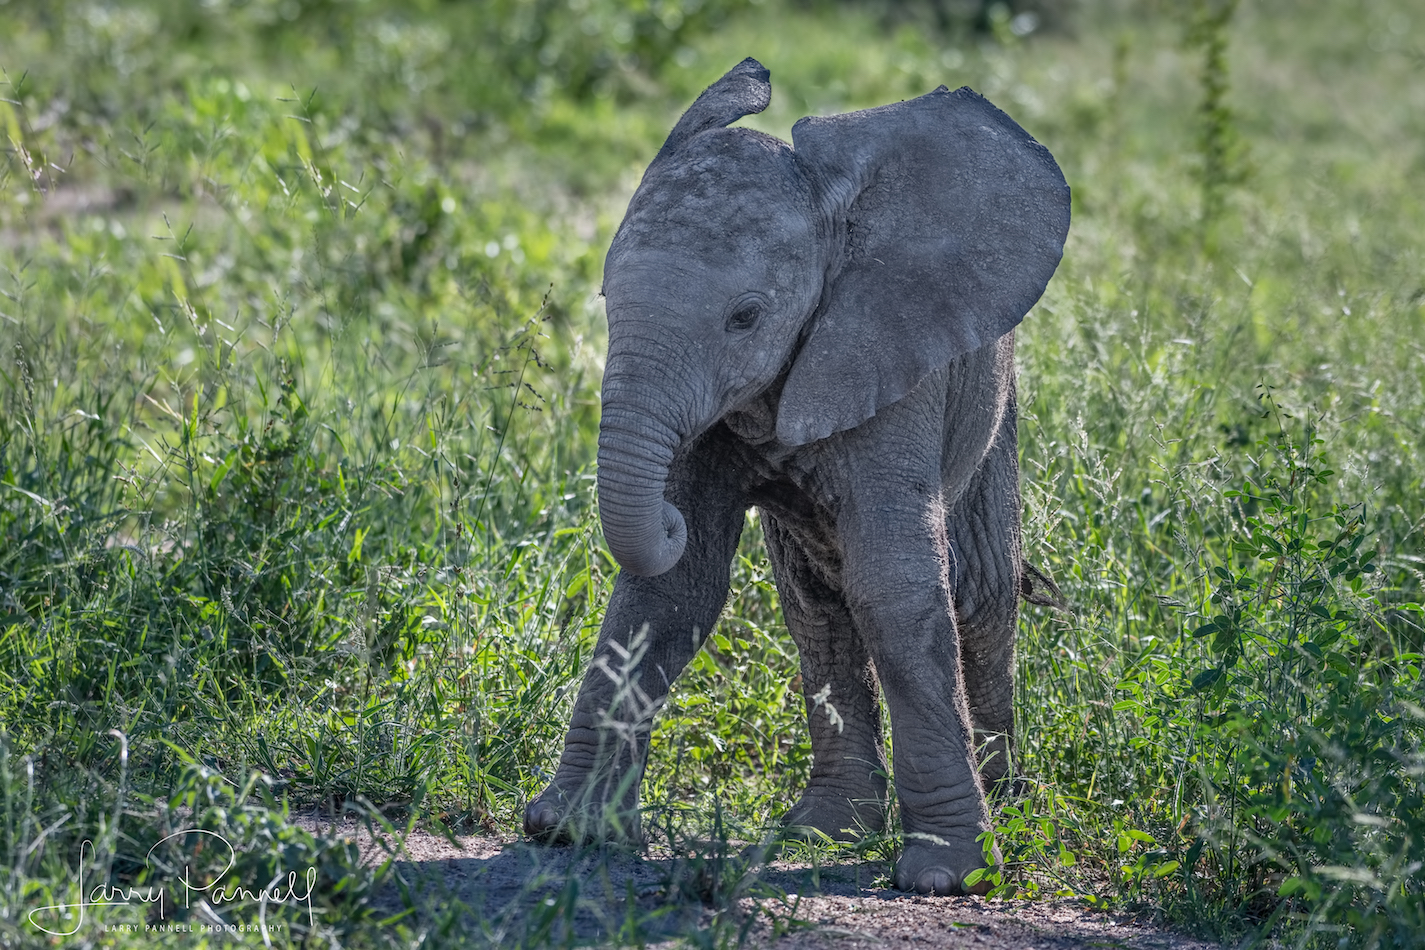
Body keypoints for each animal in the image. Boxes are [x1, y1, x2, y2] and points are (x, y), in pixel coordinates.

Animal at [524, 58, 1070, 897]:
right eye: (607, 298)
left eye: (745, 318)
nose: (663, 516)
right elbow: (674, 590)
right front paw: (566, 830)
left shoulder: (890, 361)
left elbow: (896, 585)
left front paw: (948, 878)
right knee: (816, 605)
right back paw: (824, 832)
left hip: (995, 411)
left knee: (979, 596)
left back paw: (1004, 803)